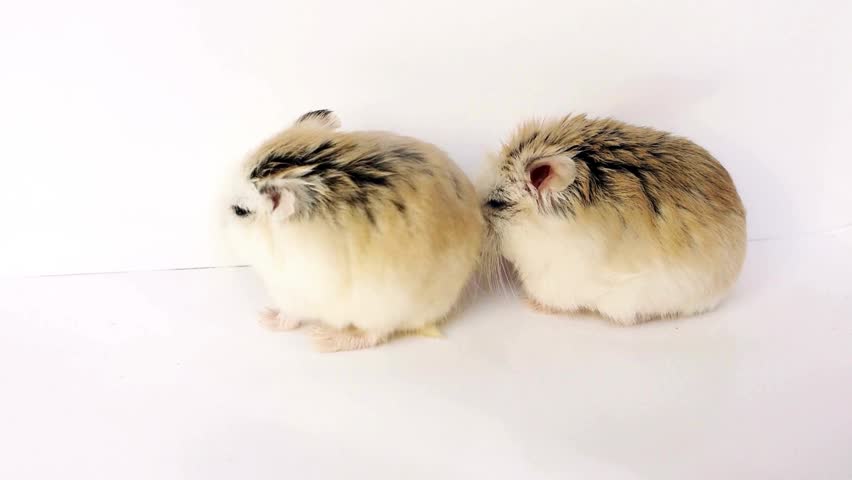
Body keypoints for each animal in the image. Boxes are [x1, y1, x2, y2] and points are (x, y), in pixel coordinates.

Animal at [224, 110, 483, 351]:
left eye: (240, 211)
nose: (219, 224)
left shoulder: (294, 290)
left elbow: (289, 315)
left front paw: (266, 318)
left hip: (383, 309)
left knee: (374, 335)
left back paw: (325, 339)